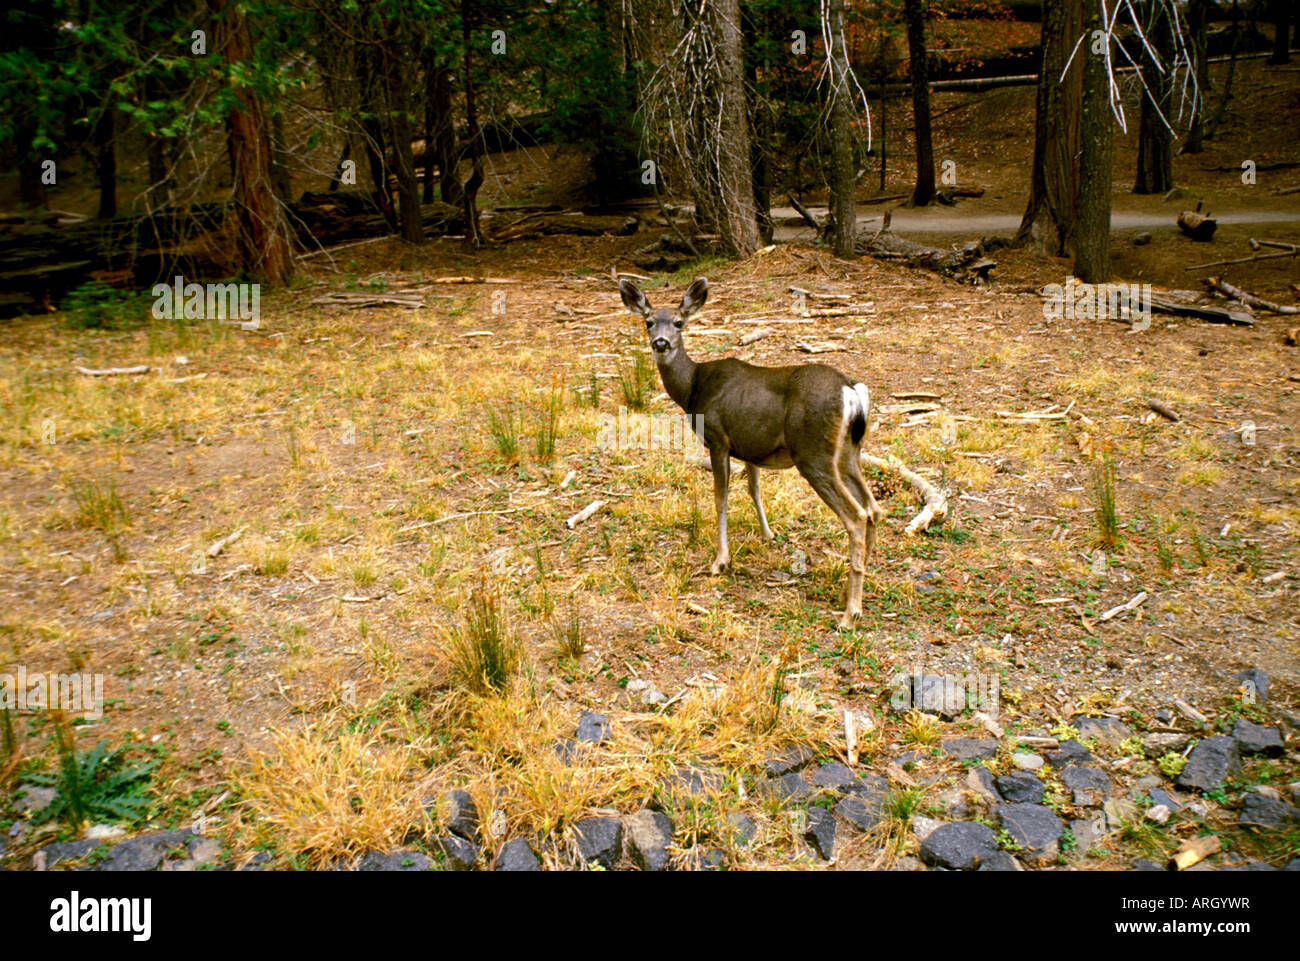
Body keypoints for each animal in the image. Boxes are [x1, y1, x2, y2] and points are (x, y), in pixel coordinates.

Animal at [616, 275, 883, 631]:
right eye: (648, 322)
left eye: (678, 322)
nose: (661, 343)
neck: (693, 388)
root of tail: (851, 390)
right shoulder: (749, 445)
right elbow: (753, 489)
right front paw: (768, 535)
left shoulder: (718, 438)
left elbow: (721, 498)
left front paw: (720, 561)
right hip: (849, 452)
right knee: (873, 508)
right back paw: (852, 590)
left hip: (812, 452)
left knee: (856, 515)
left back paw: (850, 613)